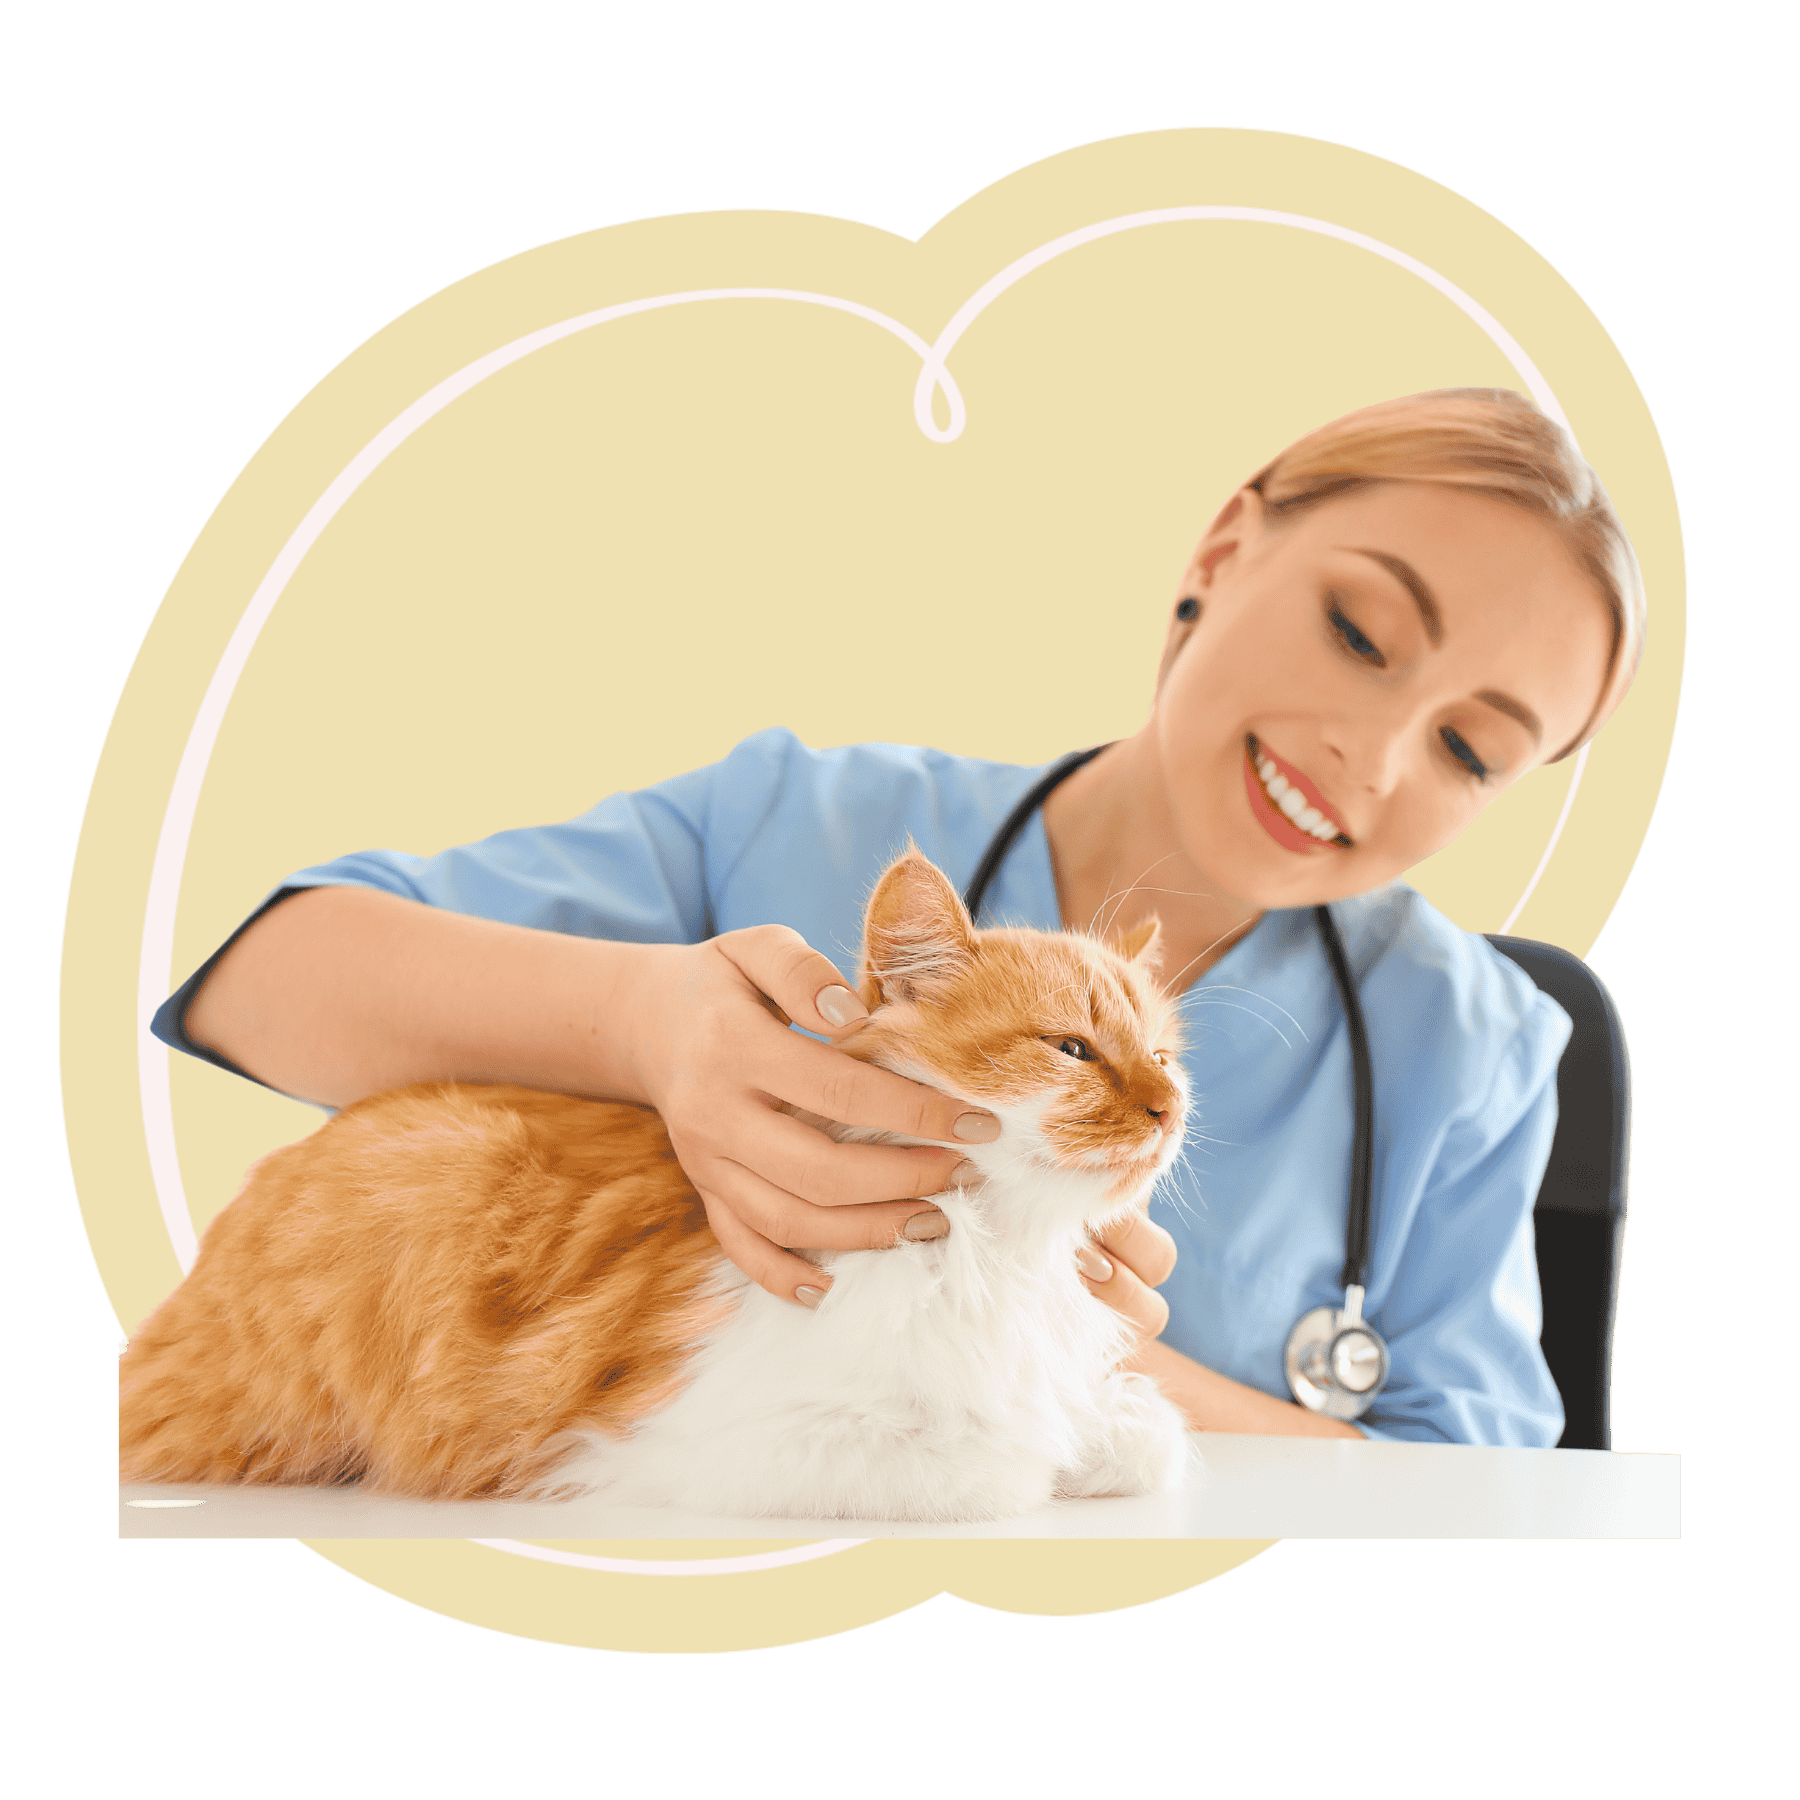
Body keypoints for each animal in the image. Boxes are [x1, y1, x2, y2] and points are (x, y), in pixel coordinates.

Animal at [119, 849, 1188, 1512]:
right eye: (1073, 1050)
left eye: (1162, 1059)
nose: (1167, 1110)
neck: (1003, 1250)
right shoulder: (690, 1442)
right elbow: (1003, 1463)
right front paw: (1048, 1458)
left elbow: (1138, 1435)